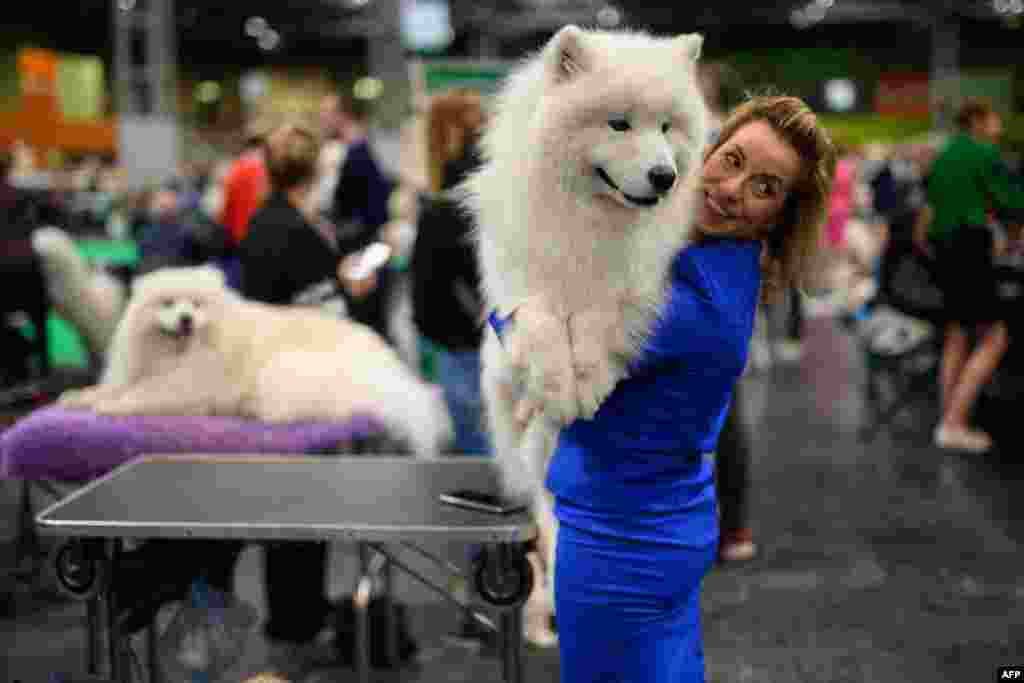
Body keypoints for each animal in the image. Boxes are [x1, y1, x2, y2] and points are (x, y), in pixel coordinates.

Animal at [58, 266, 452, 458]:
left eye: (196, 305)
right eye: (168, 304)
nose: (186, 319)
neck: (177, 355)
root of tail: (387, 370)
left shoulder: (184, 388)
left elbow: (141, 395)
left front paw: (111, 406)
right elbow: (110, 387)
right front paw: (78, 397)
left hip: (284, 370)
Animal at [460, 25, 708, 647]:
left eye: (666, 127)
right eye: (618, 124)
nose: (665, 176)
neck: (591, 222)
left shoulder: (635, 279)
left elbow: (601, 319)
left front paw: (589, 382)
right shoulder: (522, 290)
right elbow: (546, 324)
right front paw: (561, 386)